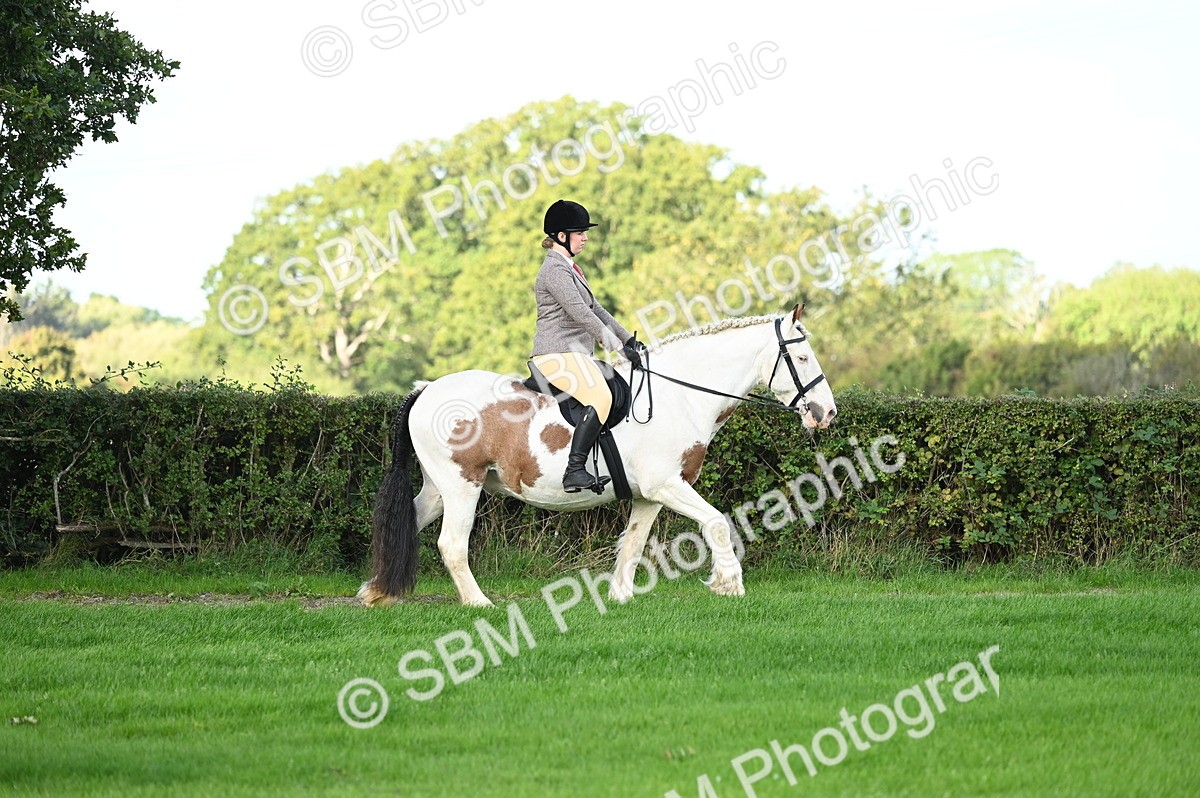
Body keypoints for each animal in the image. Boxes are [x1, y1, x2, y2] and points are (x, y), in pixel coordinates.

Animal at [359, 303, 836, 607]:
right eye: (801, 357)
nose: (826, 412)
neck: (680, 395)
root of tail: (426, 389)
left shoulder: (649, 494)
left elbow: (634, 542)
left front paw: (620, 597)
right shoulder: (668, 485)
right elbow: (717, 522)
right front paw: (728, 584)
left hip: (439, 488)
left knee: (411, 521)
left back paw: (375, 591)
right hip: (463, 485)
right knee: (452, 544)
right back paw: (478, 603)